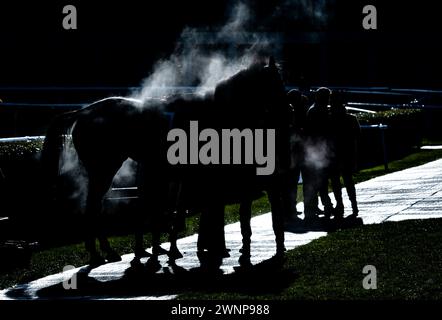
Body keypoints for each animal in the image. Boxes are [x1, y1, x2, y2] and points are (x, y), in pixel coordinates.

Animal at [41, 58, 288, 268]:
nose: (288, 110)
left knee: (97, 205)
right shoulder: (200, 175)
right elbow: (197, 209)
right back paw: (98, 254)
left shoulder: (188, 175)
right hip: (103, 169)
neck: (212, 112)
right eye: (276, 82)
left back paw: (107, 252)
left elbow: (182, 209)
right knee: (93, 205)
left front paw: (179, 250)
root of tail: (83, 111)